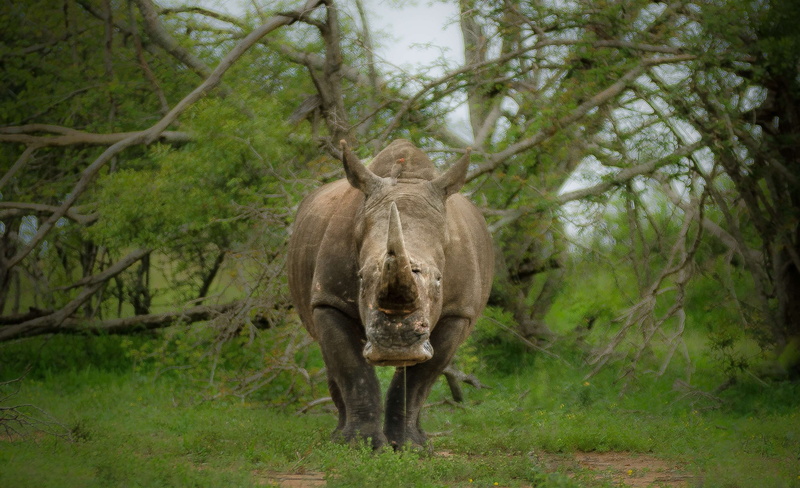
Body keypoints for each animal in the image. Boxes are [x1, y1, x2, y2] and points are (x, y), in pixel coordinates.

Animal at [287, 139, 493, 449]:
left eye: (439, 279)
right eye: (361, 277)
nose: (396, 346)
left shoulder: (459, 311)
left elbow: (420, 379)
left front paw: (411, 447)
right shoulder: (330, 301)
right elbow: (352, 369)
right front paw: (360, 445)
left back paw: (420, 438)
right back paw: (338, 436)